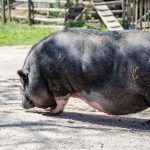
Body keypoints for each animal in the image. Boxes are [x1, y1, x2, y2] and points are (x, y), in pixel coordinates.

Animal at [17, 28, 150, 115]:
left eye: (24, 84)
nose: (21, 105)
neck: (37, 70)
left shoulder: (57, 83)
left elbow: (61, 101)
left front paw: (51, 113)